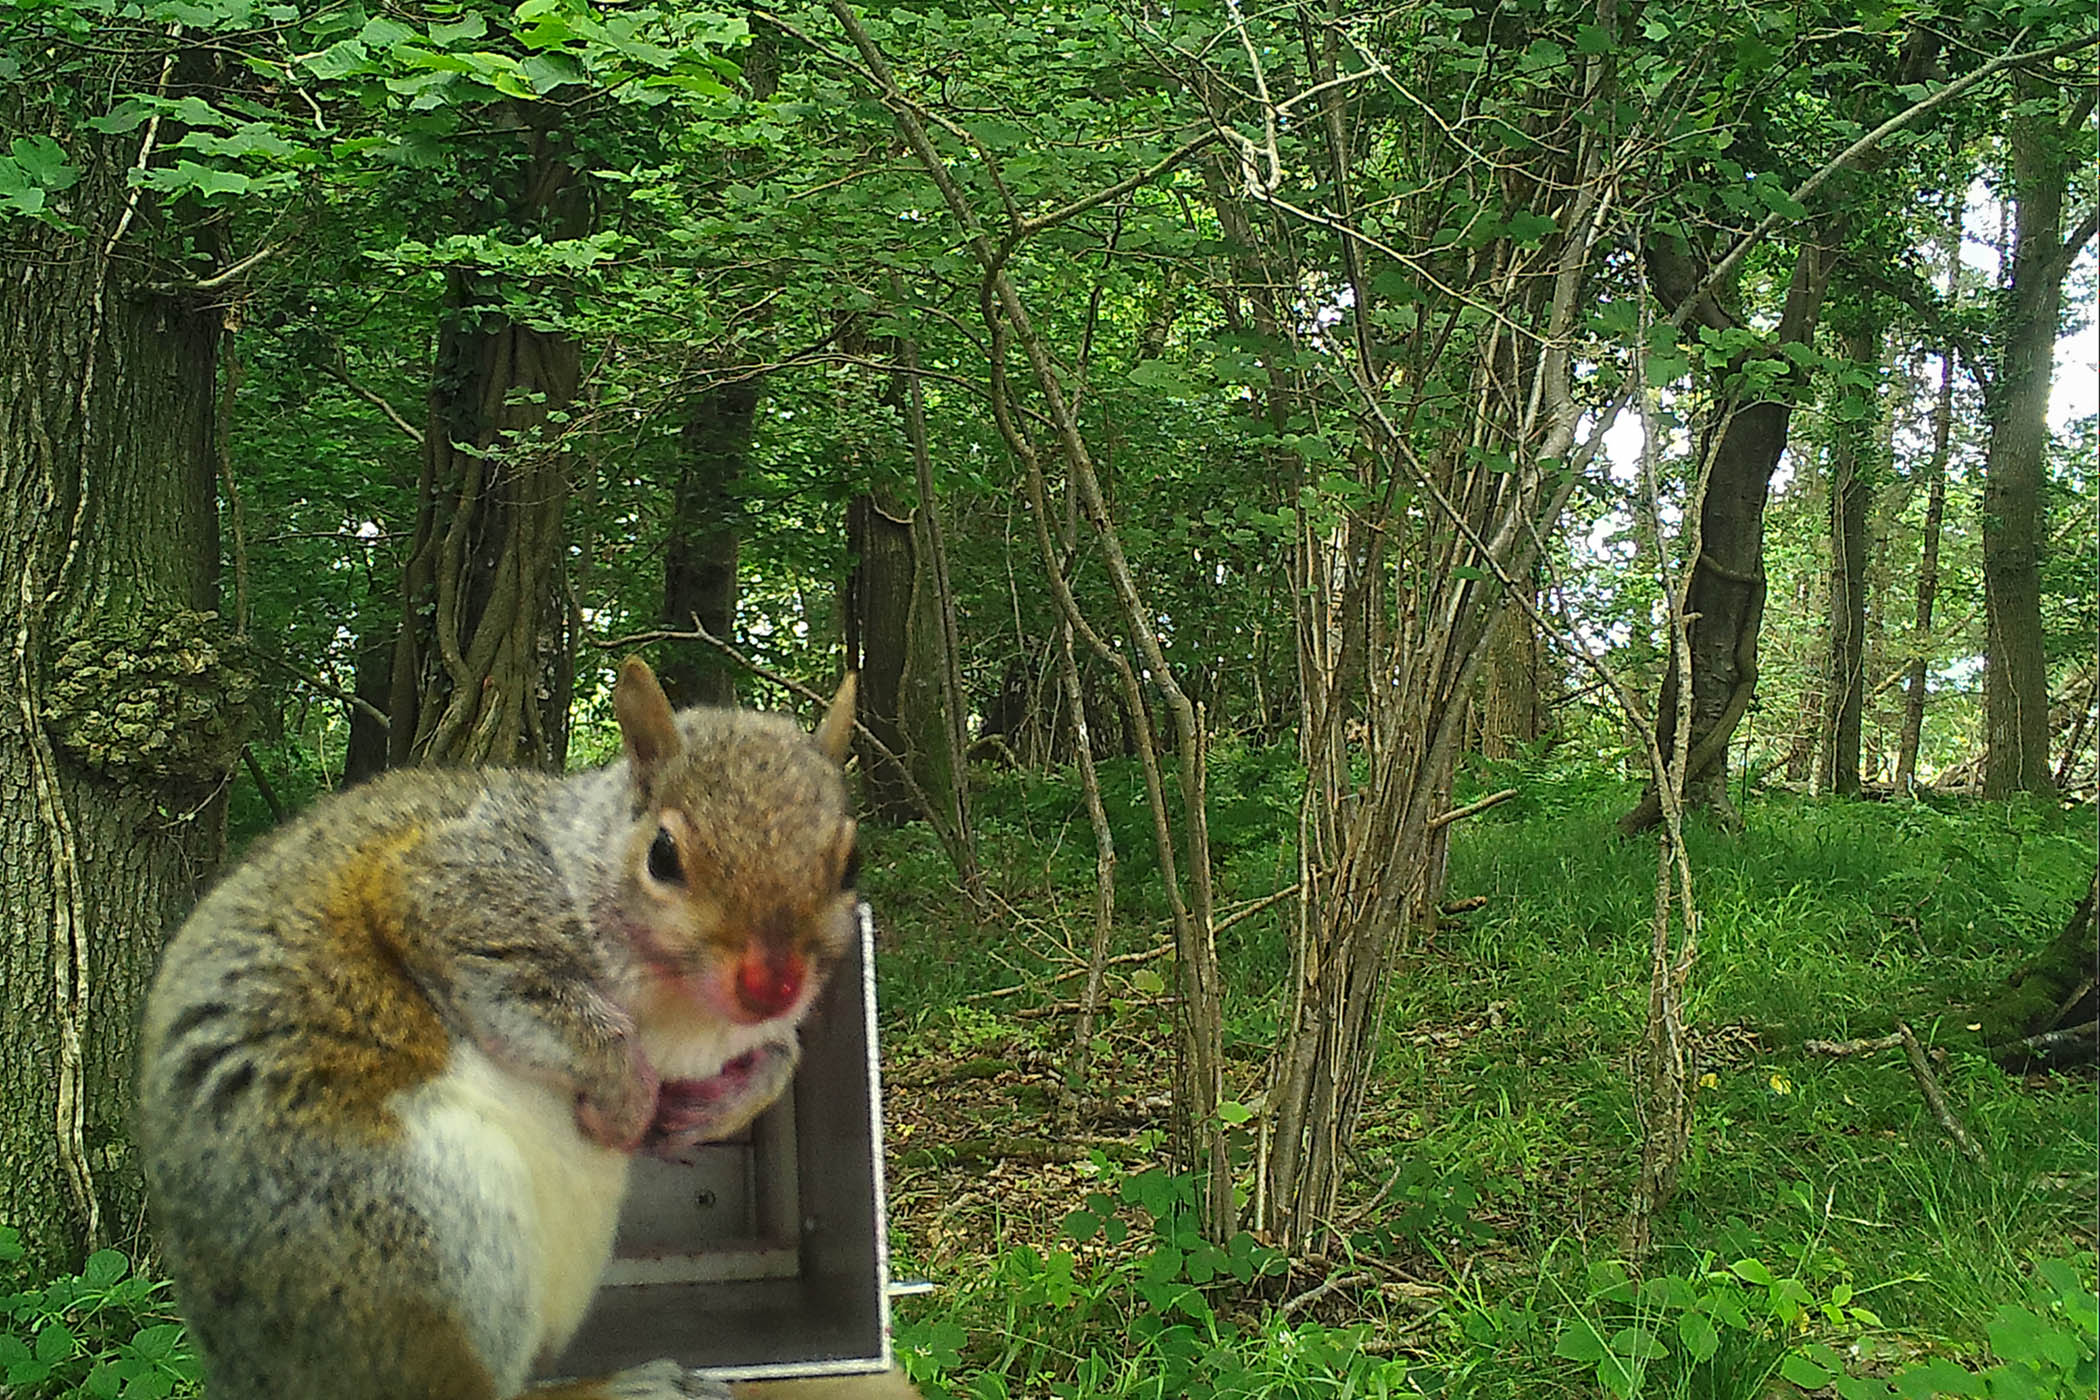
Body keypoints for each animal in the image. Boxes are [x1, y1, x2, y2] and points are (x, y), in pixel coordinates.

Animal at [137, 657, 911, 1400]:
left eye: (852, 862)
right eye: (662, 855)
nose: (771, 983)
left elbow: (779, 1056)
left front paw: (712, 1109)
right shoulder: (459, 897)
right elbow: (547, 1007)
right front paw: (627, 1097)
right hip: (402, 1233)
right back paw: (624, 1387)